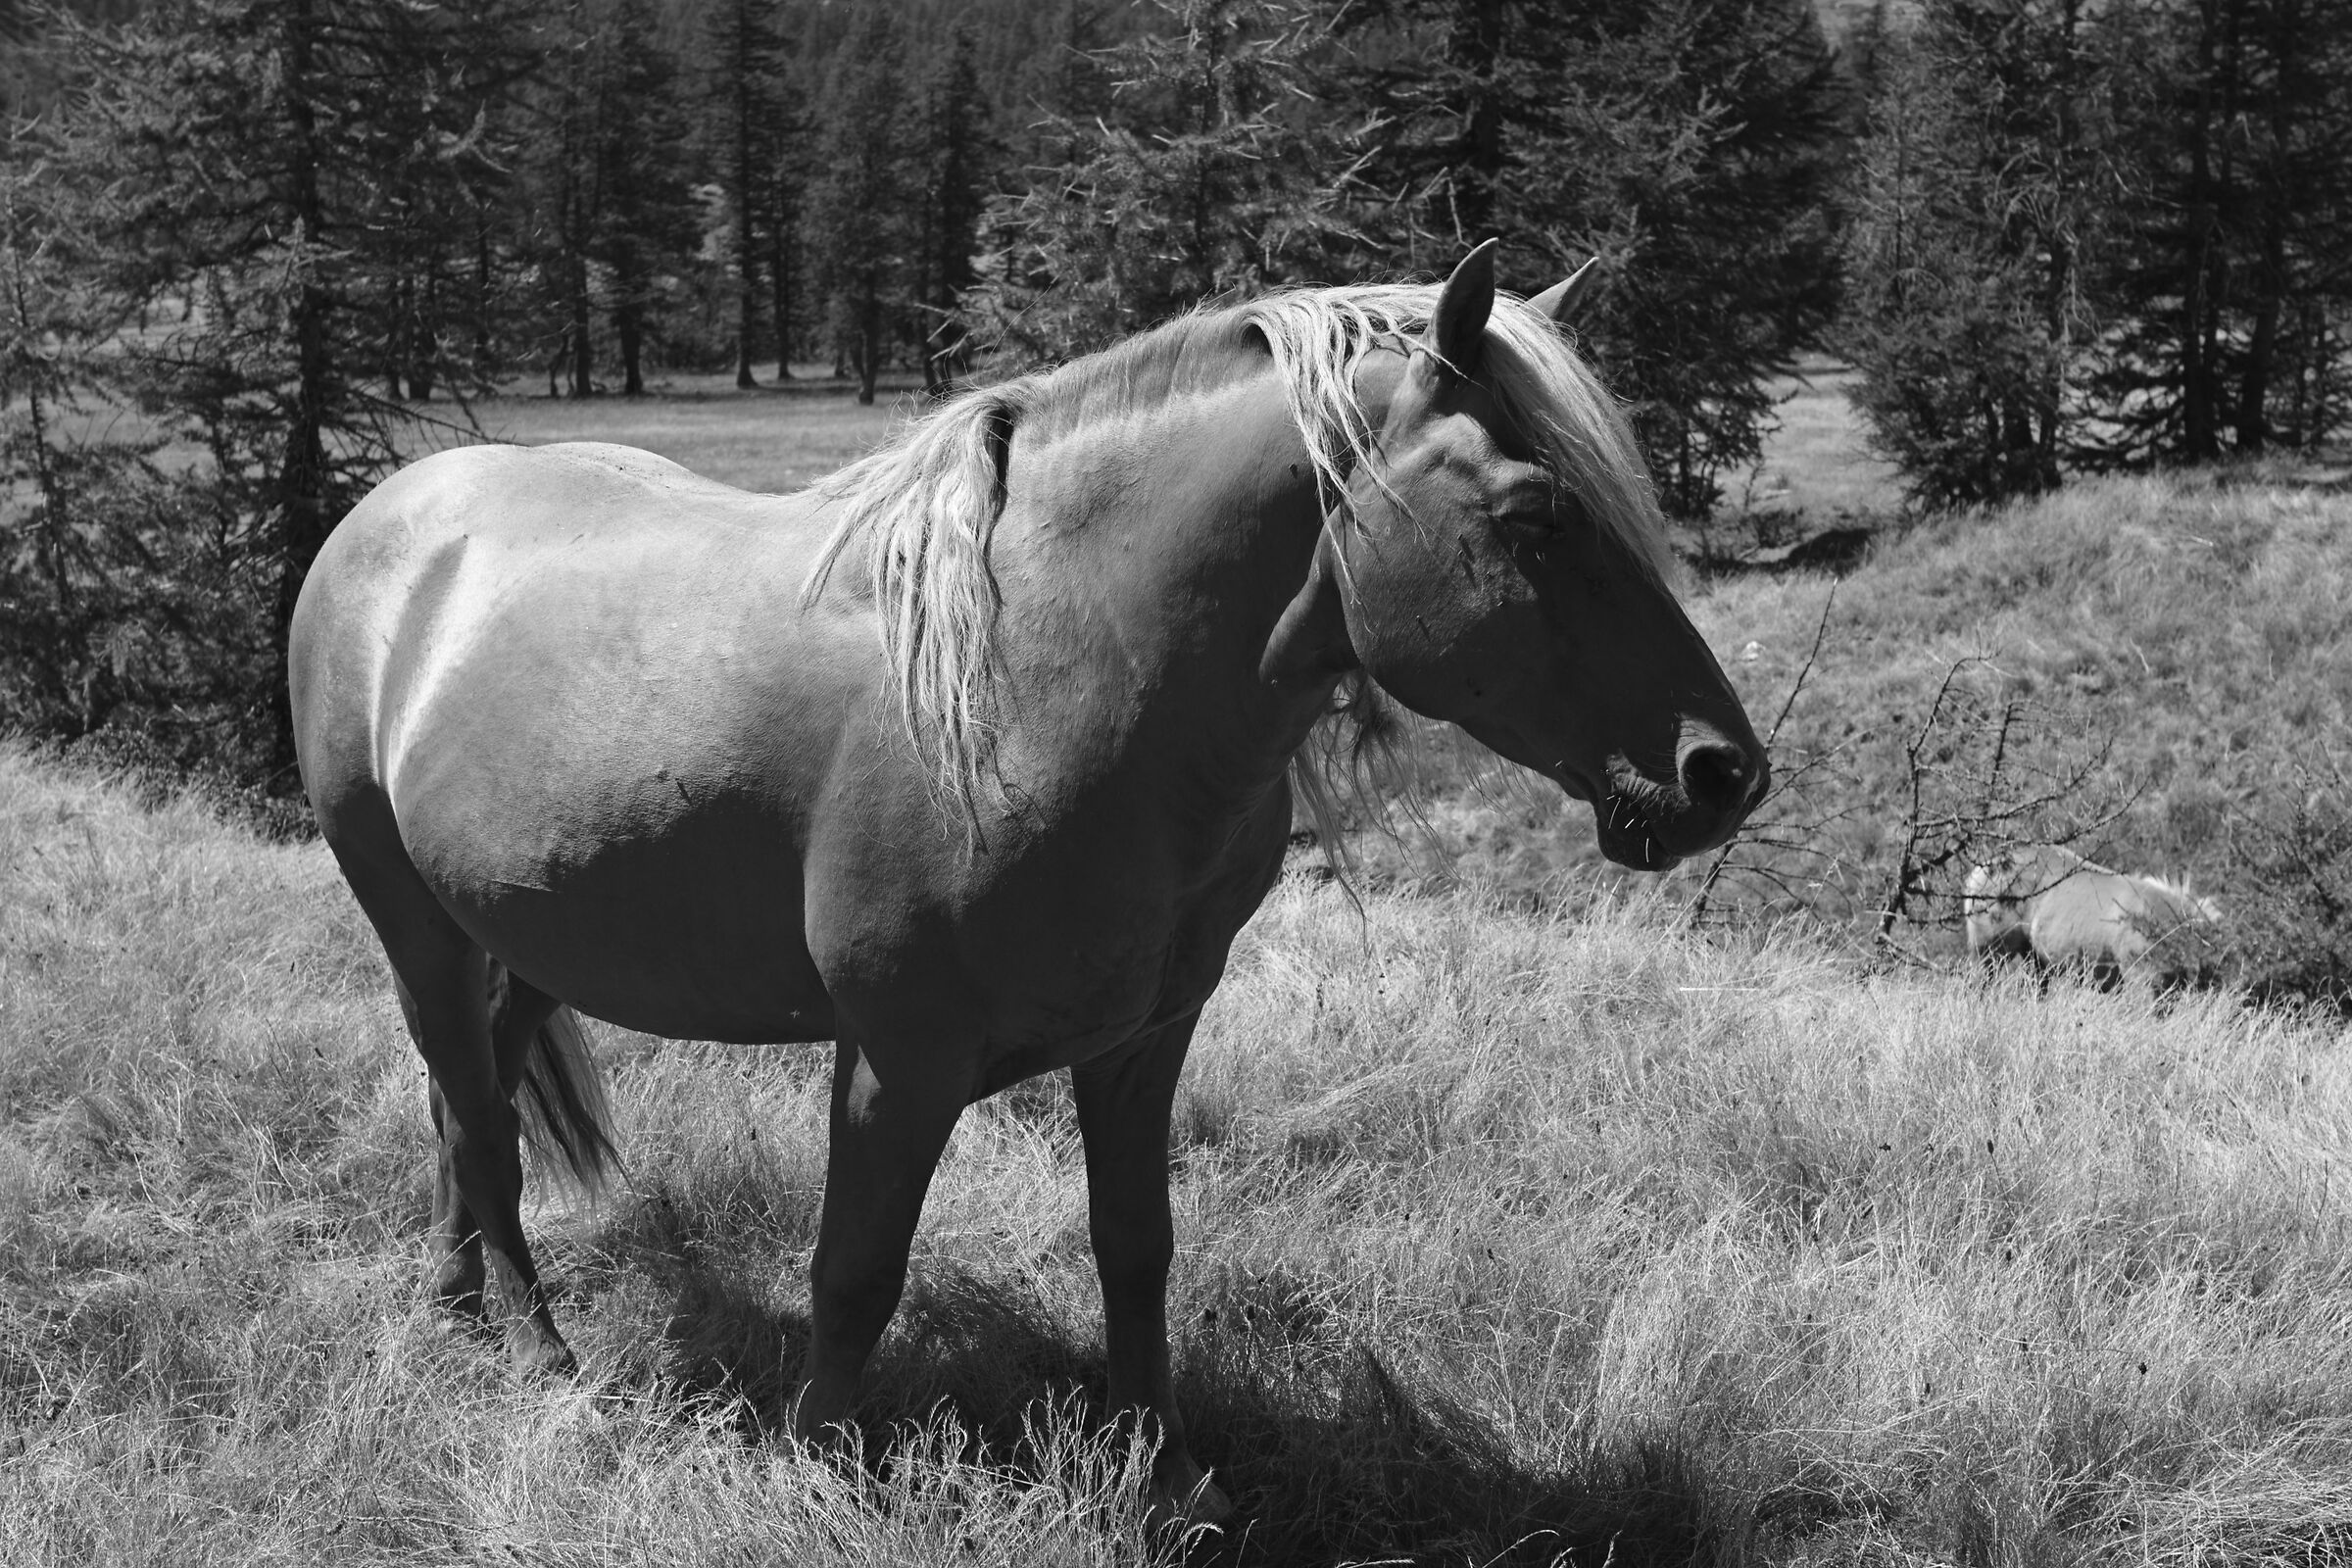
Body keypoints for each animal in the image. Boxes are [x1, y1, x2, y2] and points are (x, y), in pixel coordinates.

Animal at [287, 243, 1768, 1523]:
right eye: (1536, 516)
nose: (1723, 773)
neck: (1052, 683)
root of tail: (393, 517)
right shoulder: (899, 1060)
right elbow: (857, 1270)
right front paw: (820, 1469)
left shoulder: (1142, 1044)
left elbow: (1136, 1249)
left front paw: (1166, 1471)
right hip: (411, 918)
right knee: (478, 1119)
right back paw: (537, 1355)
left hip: (536, 934)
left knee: (465, 1101)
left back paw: (458, 1308)